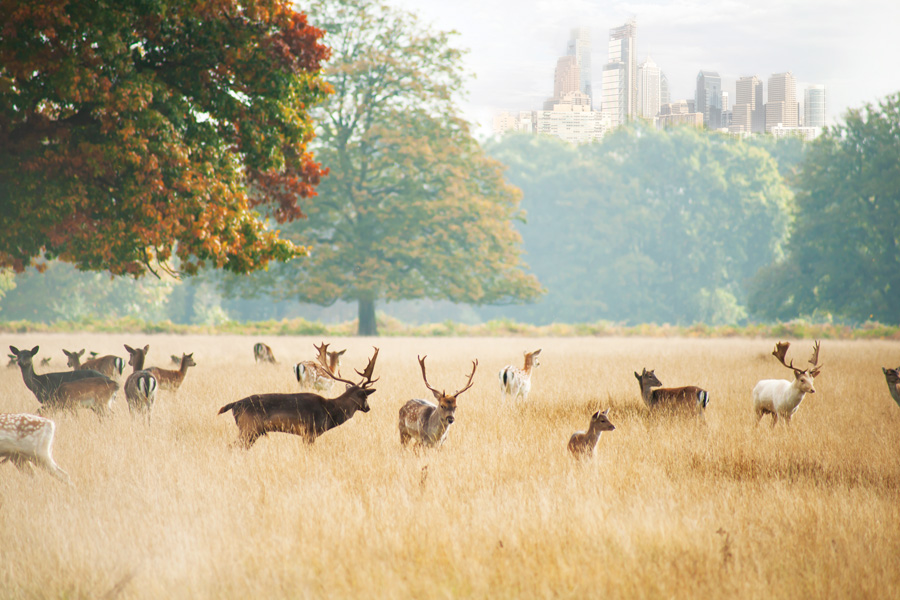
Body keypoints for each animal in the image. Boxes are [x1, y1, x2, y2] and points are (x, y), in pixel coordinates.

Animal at [219, 347, 379, 448]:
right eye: (366, 396)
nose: (368, 408)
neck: (330, 411)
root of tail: (234, 404)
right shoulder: (310, 432)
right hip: (249, 427)